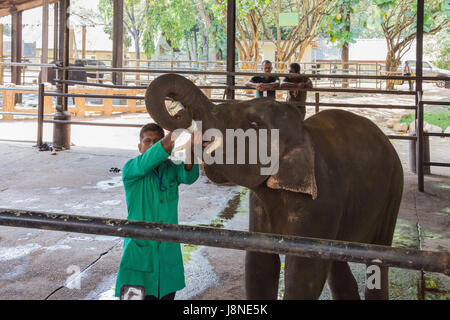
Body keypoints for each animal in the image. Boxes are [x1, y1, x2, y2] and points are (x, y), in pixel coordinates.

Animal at [145, 74, 404, 298]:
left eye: (253, 123)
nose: (181, 112)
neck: (304, 134)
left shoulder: (322, 202)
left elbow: (304, 274)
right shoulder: (260, 205)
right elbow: (259, 263)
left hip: (393, 192)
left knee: (377, 260)